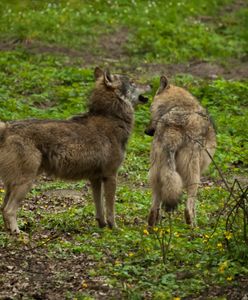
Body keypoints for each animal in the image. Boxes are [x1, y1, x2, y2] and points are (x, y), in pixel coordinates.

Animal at [0, 67, 150, 233]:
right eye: (133, 82)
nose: (150, 85)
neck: (111, 117)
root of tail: (6, 128)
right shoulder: (111, 176)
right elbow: (111, 209)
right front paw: (114, 228)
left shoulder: (95, 178)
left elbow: (99, 207)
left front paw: (102, 226)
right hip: (26, 183)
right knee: (9, 210)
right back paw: (17, 232)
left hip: (13, 184)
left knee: (3, 208)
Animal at [144, 76, 216, 226]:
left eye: (150, 109)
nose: (146, 131)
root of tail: (174, 127)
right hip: (194, 177)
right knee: (188, 208)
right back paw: (193, 227)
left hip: (155, 175)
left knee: (154, 208)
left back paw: (153, 226)